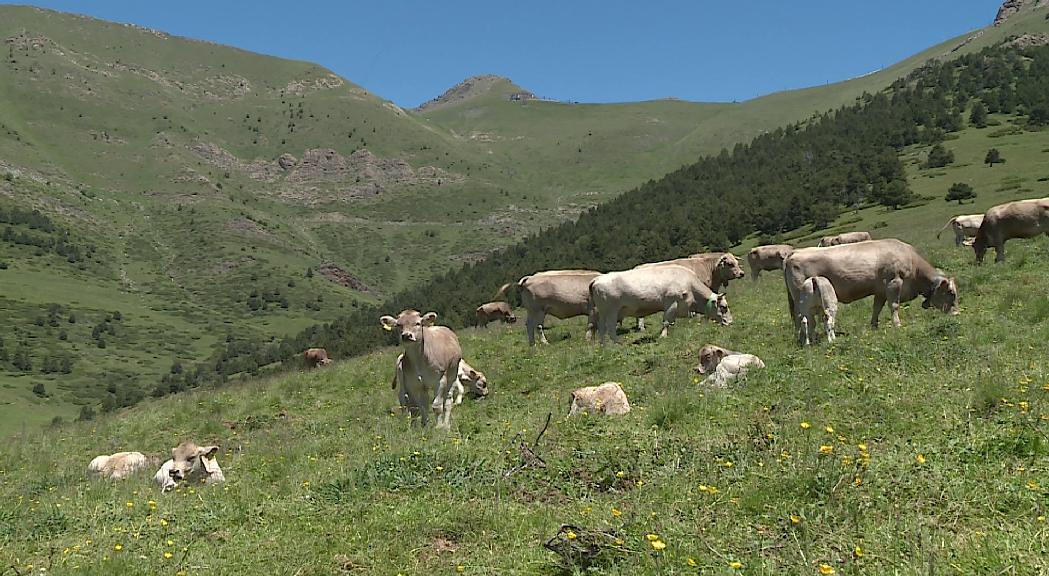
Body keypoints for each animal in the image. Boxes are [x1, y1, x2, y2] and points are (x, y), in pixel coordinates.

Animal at [591, 264, 730, 344]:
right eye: (724, 307)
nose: (730, 322)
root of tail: (597, 279)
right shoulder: (671, 303)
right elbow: (666, 321)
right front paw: (663, 336)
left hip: (603, 312)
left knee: (602, 328)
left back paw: (603, 345)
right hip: (611, 311)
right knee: (610, 327)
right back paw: (617, 343)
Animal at [780, 236, 960, 331]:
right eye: (951, 293)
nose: (957, 314)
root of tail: (794, 252)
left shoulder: (880, 291)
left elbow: (877, 308)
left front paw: (874, 326)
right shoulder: (893, 282)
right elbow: (894, 305)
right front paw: (897, 324)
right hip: (800, 299)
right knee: (802, 318)